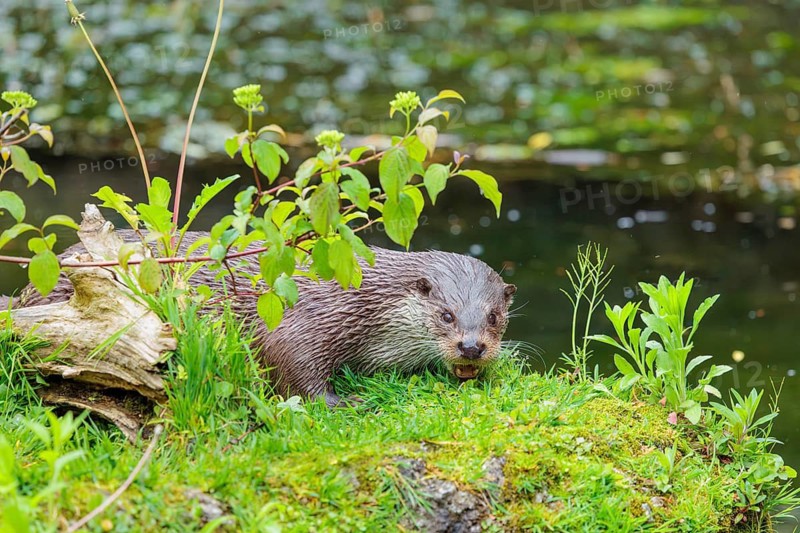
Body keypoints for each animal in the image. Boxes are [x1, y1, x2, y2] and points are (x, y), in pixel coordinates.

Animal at [12, 231, 516, 407]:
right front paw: (344, 402)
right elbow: (287, 359)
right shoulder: (315, 315)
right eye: (447, 314)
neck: (367, 300)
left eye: (494, 317)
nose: (472, 347)